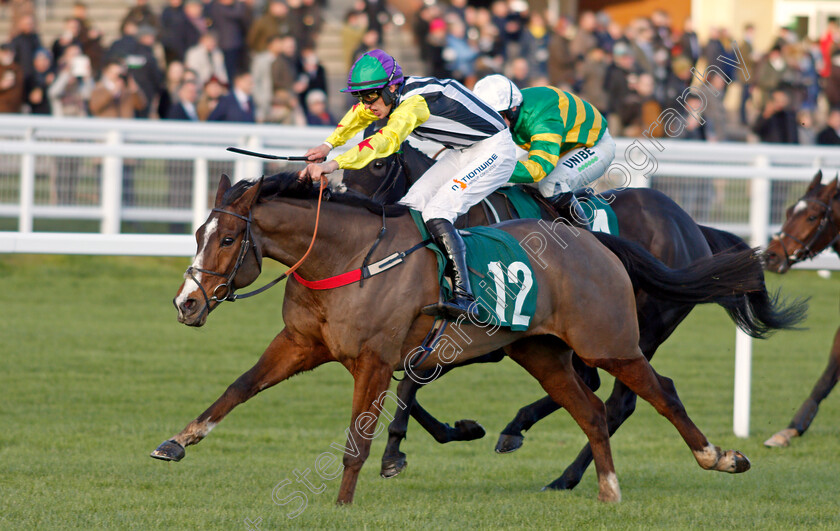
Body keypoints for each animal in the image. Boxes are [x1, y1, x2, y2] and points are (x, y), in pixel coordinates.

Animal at [149, 172, 756, 504]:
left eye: (229, 238)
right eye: (198, 233)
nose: (186, 303)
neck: (347, 257)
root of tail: (594, 241)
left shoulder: (375, 359)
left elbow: (359, 440)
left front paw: (343, 504)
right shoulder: (301, 344)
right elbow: (238, 389)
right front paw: (177, 440)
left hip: (611, 343)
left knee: (655, 393)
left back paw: (720, 457)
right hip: (542, 352)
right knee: (590, 409)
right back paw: (601, 486)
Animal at [342, 143, 808, 488]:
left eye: (379, 163)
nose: (340, 199)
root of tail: (692, 226)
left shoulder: (481, 334)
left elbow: (409, 385)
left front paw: (394, 452)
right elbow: (407, 383)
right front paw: (456, 430)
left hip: (636, 329)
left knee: (619, 401)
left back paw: (563, 473)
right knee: (593, 385)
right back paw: (522, 432)